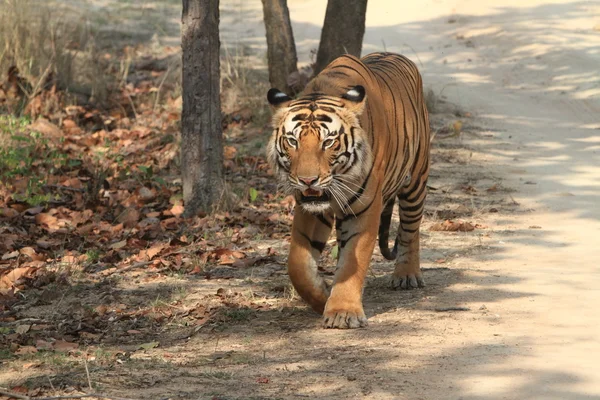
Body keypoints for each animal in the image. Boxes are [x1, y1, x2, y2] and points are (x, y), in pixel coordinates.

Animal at [264, 51, 428, 330]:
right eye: (292, 141)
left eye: (328, 142)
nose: (308, 180)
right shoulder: (309, 210)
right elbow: (298, 264)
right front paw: (322, 297)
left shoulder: (364, 208)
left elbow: (353, 259)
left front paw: (343, 312)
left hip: (416, 178)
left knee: (410, 227)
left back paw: (407, 275)